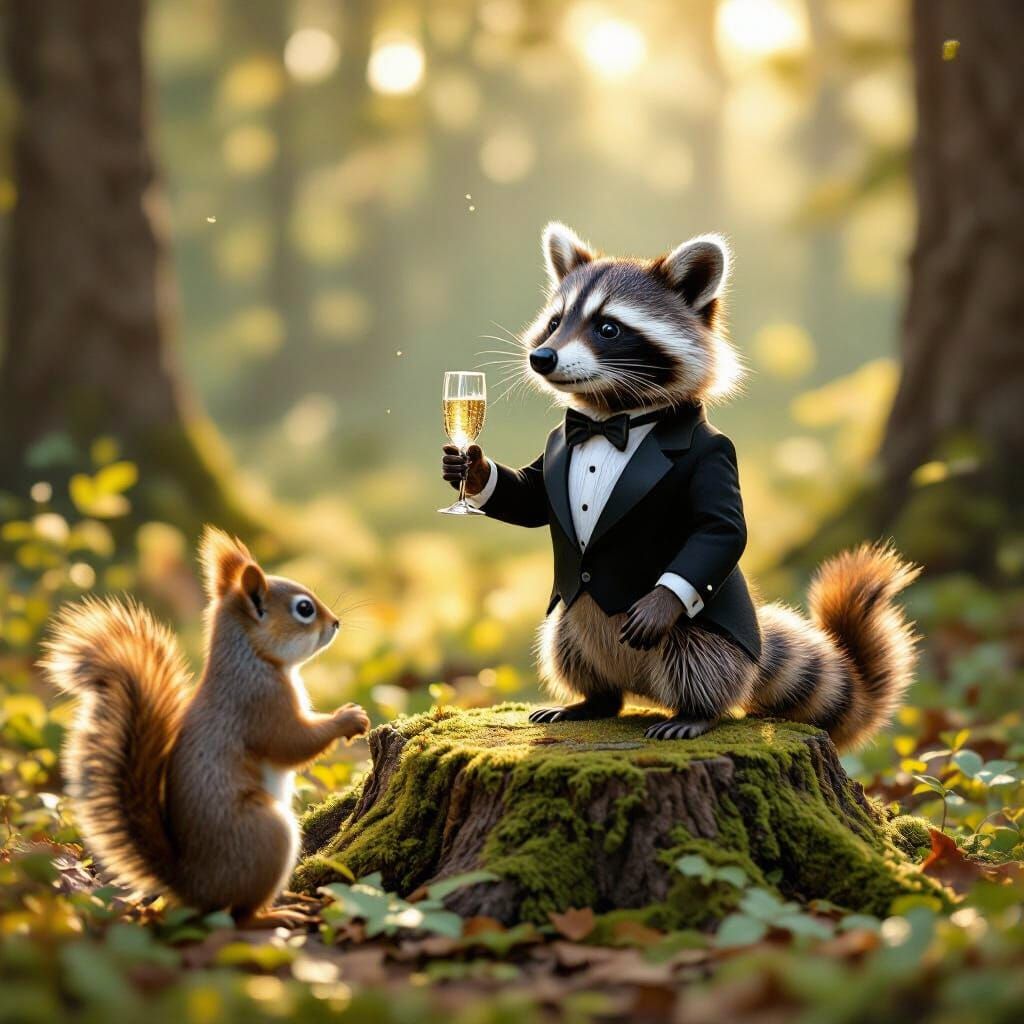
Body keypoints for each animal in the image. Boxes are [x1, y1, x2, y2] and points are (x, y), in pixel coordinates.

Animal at [446, 222, 919, 749]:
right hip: (570, 620)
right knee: (565, 649)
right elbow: (529, 497)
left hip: (705, 640)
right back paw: (593, 699)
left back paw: (697, 710)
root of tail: (641, 684)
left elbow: (721, 529)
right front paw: (475, 471)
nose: (541, 357)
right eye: (555, 323)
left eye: (608, 328)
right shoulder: (560, 448)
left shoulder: (716, 458)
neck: (613, 418)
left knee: (701, 661)